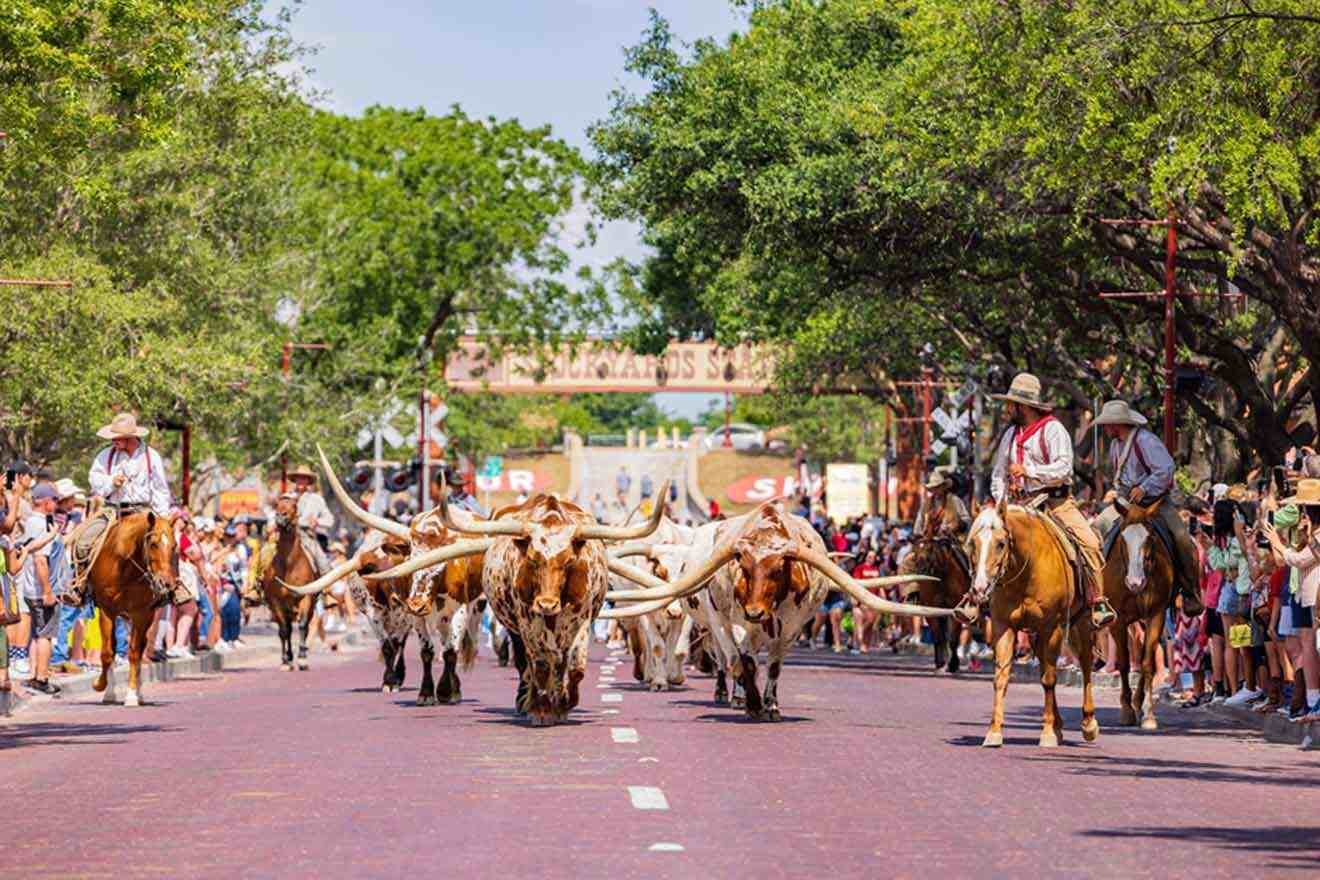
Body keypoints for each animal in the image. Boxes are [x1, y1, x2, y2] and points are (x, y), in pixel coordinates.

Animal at [89, 509, 180, 707]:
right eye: (153, 544)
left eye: (174, 546)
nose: (166, 583)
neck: (125, 567)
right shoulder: (107, 611)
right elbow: (107, 652)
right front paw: (101, 686)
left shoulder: (141, 614)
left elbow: (134, 653)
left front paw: (131, 694)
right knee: (114, 647)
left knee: (139, 649)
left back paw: (139, 693)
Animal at [258, 496, 320, 675]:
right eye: (277, 506)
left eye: (294, 505)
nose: (281, 516)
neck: (290, 565)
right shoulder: (275, 601)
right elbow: (284, 630)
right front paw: (286, 661)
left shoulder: (306, 596)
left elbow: (303, 625)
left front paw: (303, 659)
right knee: (285, 630)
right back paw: (288, 658)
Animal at [897, 538, 971, 675]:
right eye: (915, 551)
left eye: (930, 550)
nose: (920, 570)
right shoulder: (931, 611)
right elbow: (938, 637)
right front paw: (940, 662)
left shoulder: (955, 611)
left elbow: (953, 639)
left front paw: (953, 665)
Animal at [966, 498, 1098, 749]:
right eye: (972, 544)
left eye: (1000, 544)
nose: (979, 588)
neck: (1026, 570)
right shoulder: (1003, 627)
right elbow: (1002, 678)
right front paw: (994, 732)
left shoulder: (1053, 627)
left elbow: (1049, 679)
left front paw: (1047, 734)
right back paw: (1058, 724)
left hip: (1082, 623)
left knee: (1085, 664)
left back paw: (1088, 724)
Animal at [1098, 498, 1182, 733]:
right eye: (1123, 539)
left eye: (1150, 538)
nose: (1135, 582)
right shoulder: (1118, 620)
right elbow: (1125, 663)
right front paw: (1126, 711)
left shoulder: (1156, 616)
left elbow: (1146, 664)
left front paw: (1148, 715)